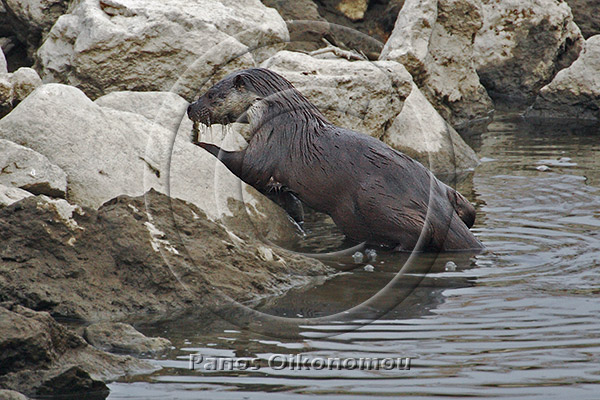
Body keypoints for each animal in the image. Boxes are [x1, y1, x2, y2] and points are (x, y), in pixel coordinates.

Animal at [187, 68, 483, 252]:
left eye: (211, 94)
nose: (190, 107)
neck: (280, 115)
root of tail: (439, 208)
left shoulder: (271, 140)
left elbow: (247, 166)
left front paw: (201, 143)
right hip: (448, 194)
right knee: (468, 211)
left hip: (374, 200)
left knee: (418, 231)